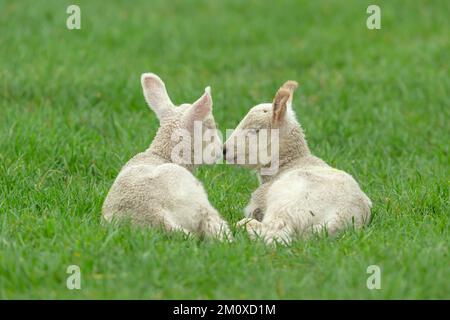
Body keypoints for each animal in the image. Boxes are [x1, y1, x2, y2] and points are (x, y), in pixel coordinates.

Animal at [223, 80, 370, 245]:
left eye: (255, 130)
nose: (224, 150)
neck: (291, 162)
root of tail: (342, 217)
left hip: (287, 204)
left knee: (275, 234)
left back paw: (243, 225)